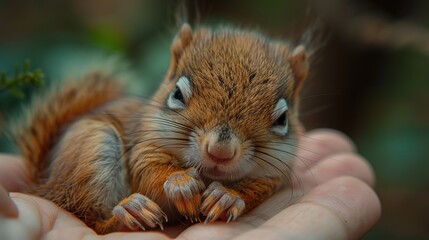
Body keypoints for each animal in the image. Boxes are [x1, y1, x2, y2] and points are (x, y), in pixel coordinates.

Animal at [12, 23, 308, 233]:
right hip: (93, 147)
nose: (220, 152)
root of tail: (44, 184)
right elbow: (149, 171)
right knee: (89, 217)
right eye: (176, 94)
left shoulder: (271, 175)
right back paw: (129, 213)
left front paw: (228, 197)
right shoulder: (144, 146)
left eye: (282, 119)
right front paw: (180, 183)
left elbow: (255, 189)